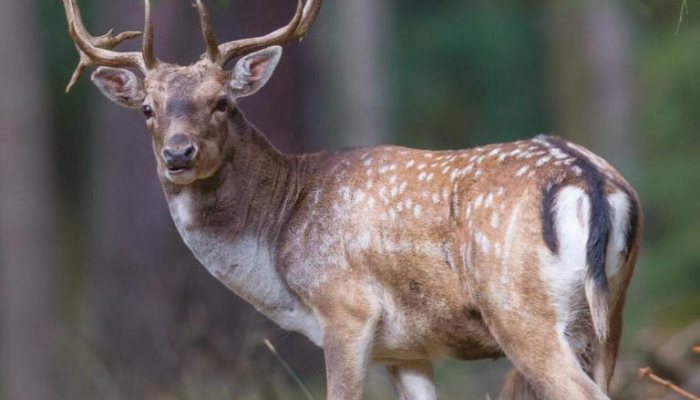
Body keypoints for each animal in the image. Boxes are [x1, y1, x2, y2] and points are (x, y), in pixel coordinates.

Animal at [61, 0, 642, 399]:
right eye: (147, 109)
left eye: (222, 101)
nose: (178, 154)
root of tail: (592, 181)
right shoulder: (408, 347)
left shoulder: (346, 309)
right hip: (609, 312)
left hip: (520, 309)